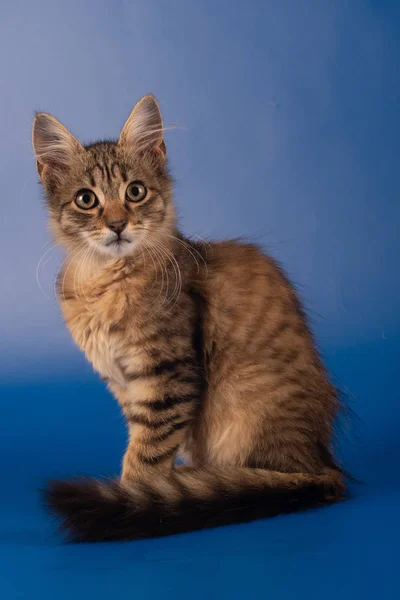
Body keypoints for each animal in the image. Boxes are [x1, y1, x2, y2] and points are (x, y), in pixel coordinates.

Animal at [32, 95, 344, 544]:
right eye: (86, 200)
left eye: (135, 192)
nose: (117, 225)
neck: (105, 279)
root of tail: (324, 465)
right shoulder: (126, 384)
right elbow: (143, 443)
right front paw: (141, 495)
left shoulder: (168, 375)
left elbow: (146, 454)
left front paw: (131, 500)